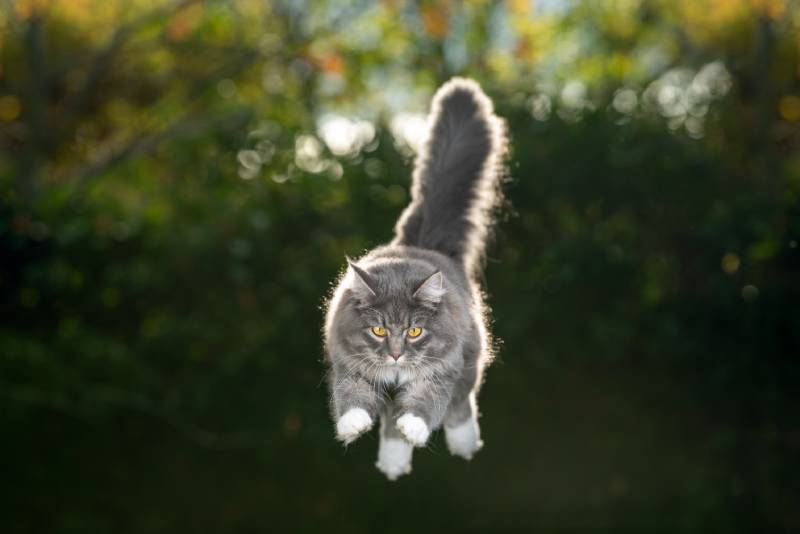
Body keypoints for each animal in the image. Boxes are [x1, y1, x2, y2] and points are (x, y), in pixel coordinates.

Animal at [320, 76, 504, 482]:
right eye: (378, 330)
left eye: (415, 331)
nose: (395, 354)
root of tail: (419, 243)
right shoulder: (349, 365)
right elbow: (351, 397)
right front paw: (353, 425)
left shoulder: (441, 372)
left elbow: (427, 405)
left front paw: (415, 427)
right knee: (390, 421)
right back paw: (392, 462)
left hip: (469, 361)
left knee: (460, 406)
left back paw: (463, 444)